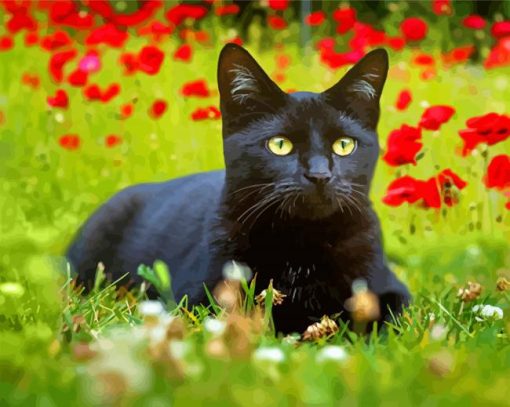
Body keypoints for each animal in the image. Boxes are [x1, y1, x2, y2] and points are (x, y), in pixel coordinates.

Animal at [67, 43, 410, 334]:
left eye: (344, 145)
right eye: (280, 145)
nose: (319, 174)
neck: (302, 244)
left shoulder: (392, 290)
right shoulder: (196, 296)